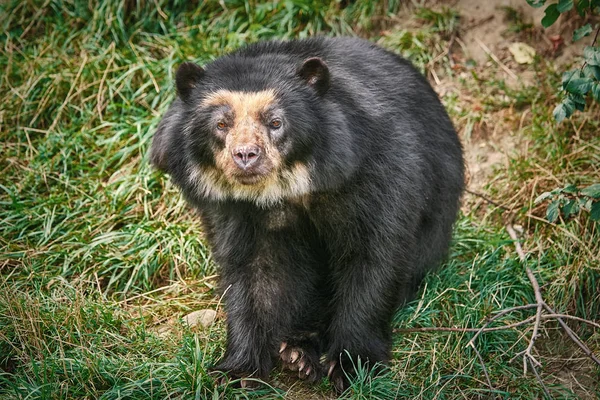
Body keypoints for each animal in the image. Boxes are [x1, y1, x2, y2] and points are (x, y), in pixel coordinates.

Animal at [150, 36, 464, 392]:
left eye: (275, 122)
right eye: (221, 124)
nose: (246, 156)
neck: (286, 189)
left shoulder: (376, 171)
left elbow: (373, 256)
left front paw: (351, 366)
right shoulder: (236, 209)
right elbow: (255, 272)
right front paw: (237, 371)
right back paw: (297, 354)